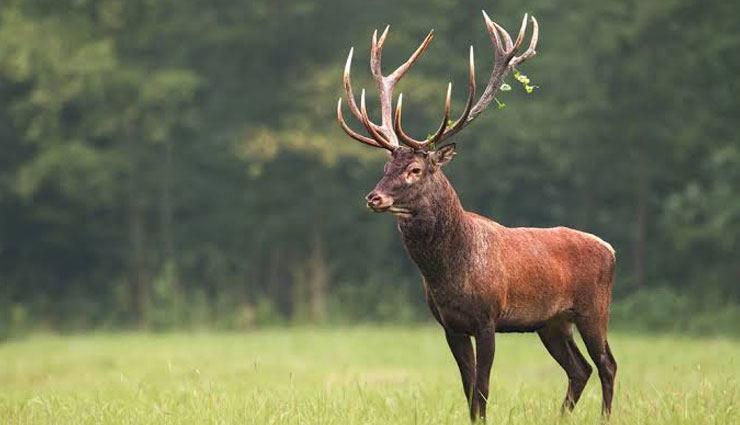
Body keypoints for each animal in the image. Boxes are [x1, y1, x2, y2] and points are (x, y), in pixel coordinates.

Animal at [336, 10, 617, 422]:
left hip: (593, 307)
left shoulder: (488, 318)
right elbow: (468, 389)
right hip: (551, 322)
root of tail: (610, 248)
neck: (449, 273)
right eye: (386, 166)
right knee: (579, 369)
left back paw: (605, 415)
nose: (374, 197)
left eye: (415, 169)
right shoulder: (450, 325)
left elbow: (482, 388)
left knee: (606, 364)